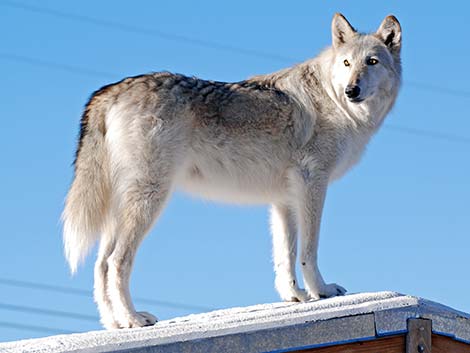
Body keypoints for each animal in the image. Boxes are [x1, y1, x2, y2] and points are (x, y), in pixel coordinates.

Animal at [61, 13, 400, 328]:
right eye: (346, 63)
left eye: (371, 62)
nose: (351, 90)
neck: (334, 101)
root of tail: (110, 91)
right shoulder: (313, 183)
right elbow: (309, 250)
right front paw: (321, 291)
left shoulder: (284, 200)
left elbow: (285, 255)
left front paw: (294, 296)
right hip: (149, 201)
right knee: (116, 261)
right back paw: (133, 319)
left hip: (121, 210)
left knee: (100, 264)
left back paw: (114, 324)